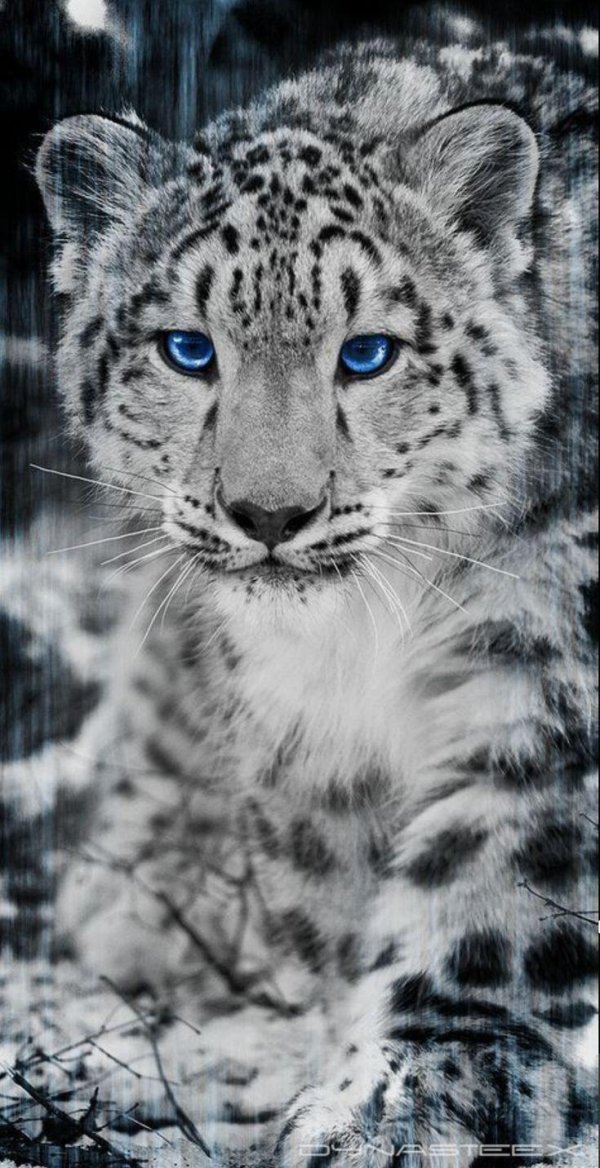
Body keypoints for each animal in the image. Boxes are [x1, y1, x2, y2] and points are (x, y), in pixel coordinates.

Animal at [2, 16, 597, 1168]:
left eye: (367, 354)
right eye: (188, 349)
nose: (269, 514)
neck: (363, 638)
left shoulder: (545, 677)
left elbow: (493, 894)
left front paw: (401, 1107)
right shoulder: (299, 730)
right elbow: (331, 891)